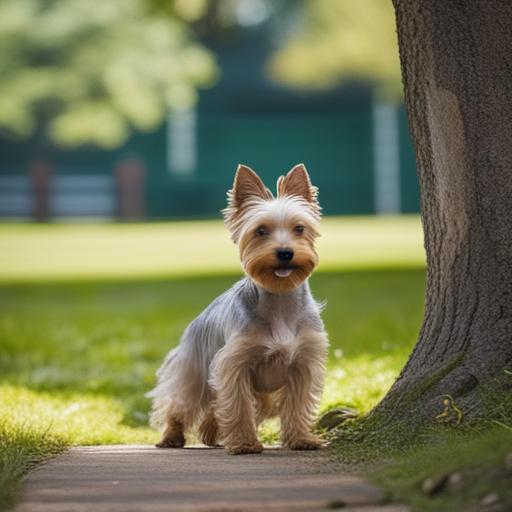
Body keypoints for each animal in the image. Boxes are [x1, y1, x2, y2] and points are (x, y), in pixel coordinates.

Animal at [147, 164, 328, 456]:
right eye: (261, 231)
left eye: (299, 228)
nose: (285, 252)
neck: (279, 297)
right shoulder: (234, 365)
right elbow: (239, 406)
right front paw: (244, 443)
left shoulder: (303, 363)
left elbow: (297, 405)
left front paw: (302, 438)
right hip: (194, 369)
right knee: (181, 402)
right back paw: (172, 436)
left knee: (237, 408)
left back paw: (212, 433)